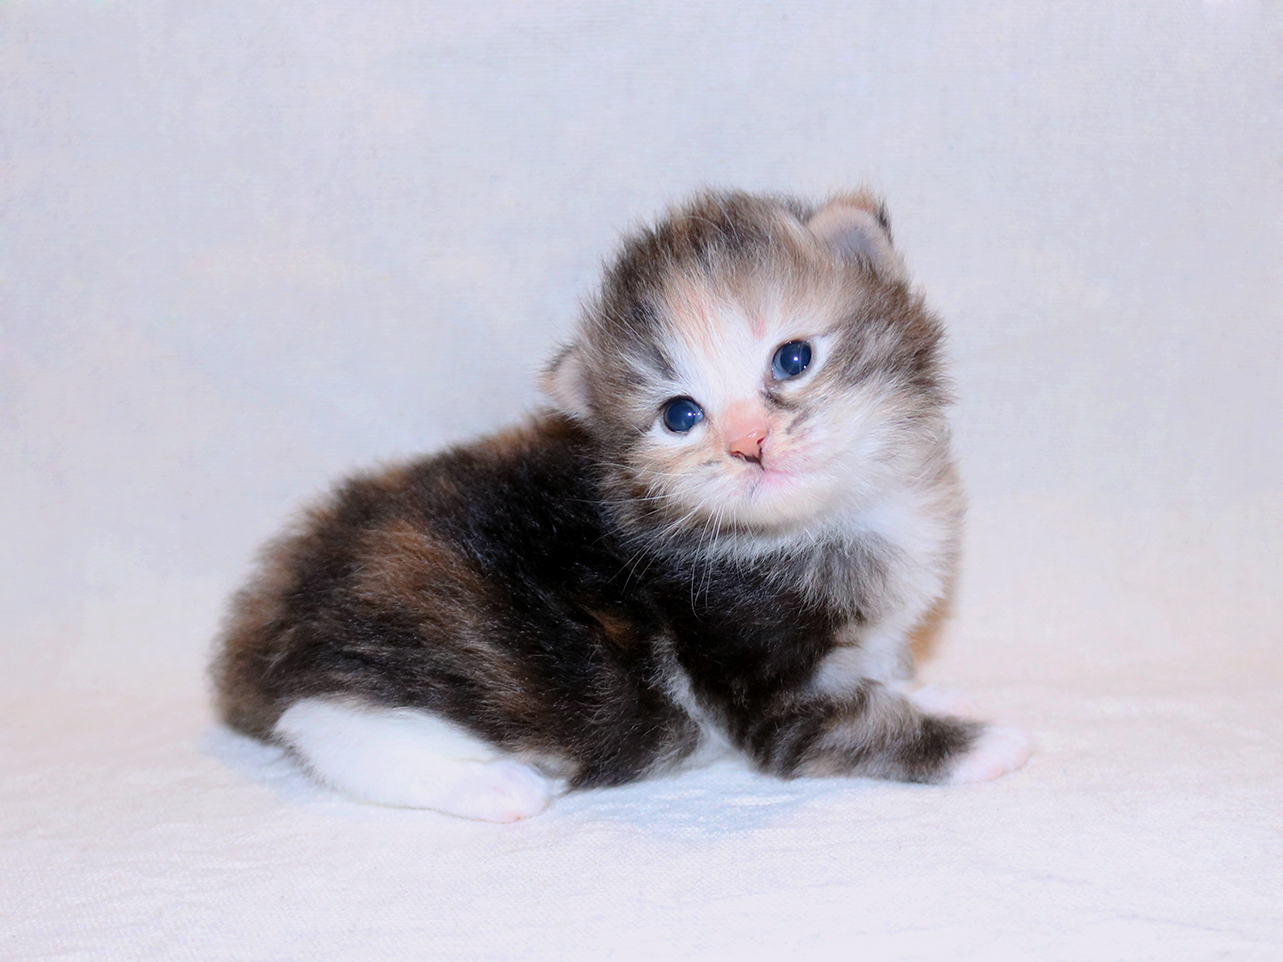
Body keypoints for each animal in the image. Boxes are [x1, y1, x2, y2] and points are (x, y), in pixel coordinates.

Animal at [212, 192, 1031, 826]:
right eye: (680, 415)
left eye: (793, 358)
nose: (749, 443)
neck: (827, 522)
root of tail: (272, 607)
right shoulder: (757, 674)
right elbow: (863, 725)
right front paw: (983, 742)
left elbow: (881, 673)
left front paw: (931, 688)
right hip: (452, 641)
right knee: (324, 722)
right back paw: (492, 785)